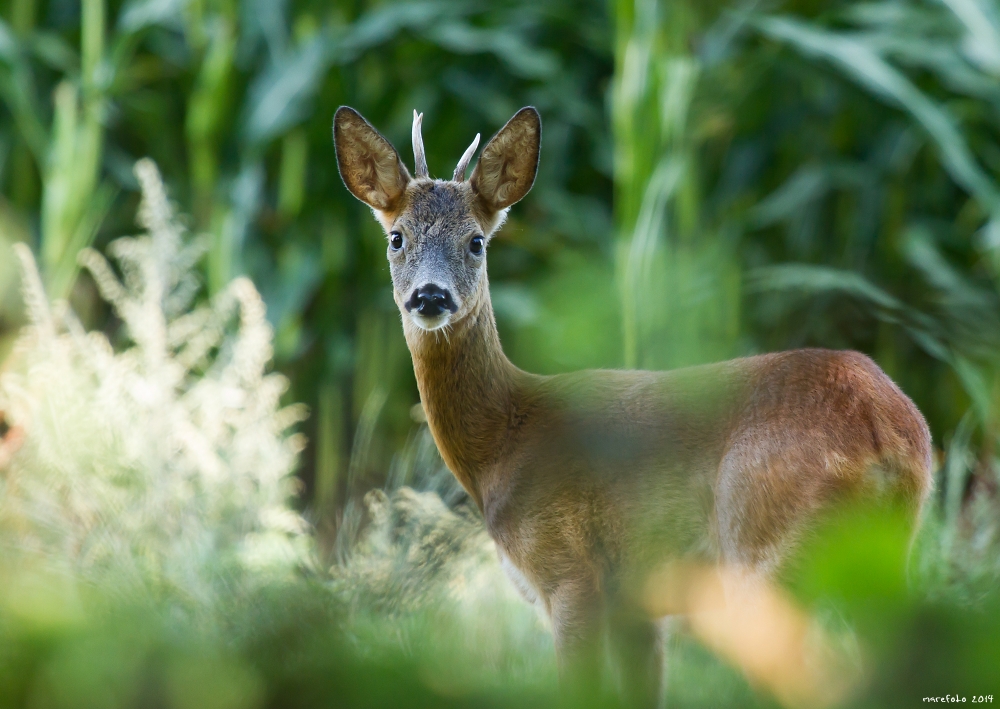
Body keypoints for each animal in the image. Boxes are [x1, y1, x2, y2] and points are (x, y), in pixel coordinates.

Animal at [332, 106, 932, 708]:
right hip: (885, 556)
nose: (430, 297)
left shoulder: (570, 573)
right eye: (396, 237)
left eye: (476, 242)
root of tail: (884, 428)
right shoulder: (635, 606)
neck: (502, 444)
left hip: (768, 548)